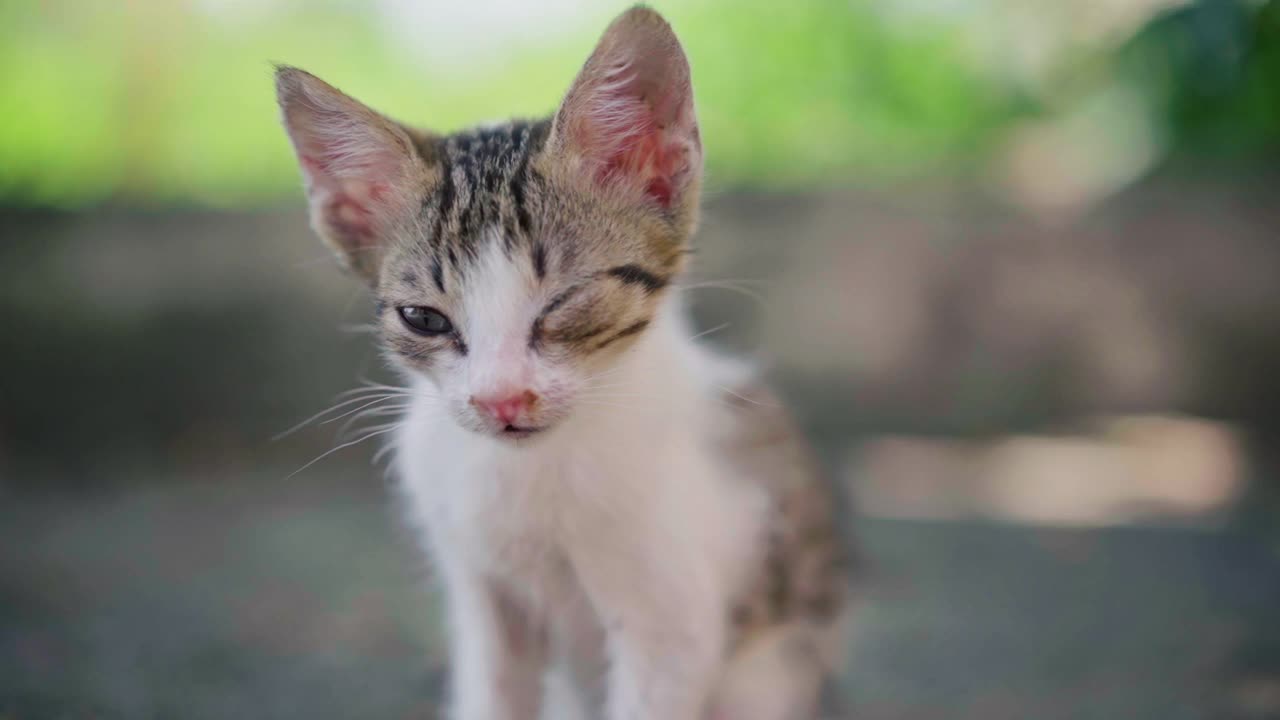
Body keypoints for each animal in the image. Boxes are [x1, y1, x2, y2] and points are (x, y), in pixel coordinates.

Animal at [275, 5, 849, 717]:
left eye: (565, 300)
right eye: (424, 318)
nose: (500, 398)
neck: (529, 479)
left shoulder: (673, 625)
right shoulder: (482, 600)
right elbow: (491, 694)